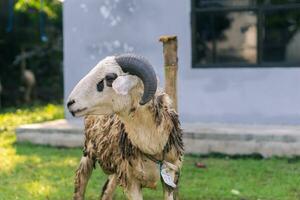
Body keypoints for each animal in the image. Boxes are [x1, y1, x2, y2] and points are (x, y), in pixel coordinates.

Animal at [67, 53, 184, 200]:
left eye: (110, 78)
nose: (70, 103)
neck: (153, 145)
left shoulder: (170, 177)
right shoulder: (131, 182)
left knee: (107, 190)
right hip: (88, 151)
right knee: (80, 181)